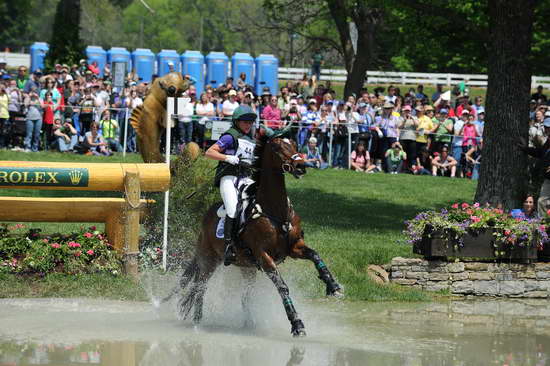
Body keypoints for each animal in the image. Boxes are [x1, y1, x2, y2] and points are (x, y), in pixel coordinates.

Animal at [166, 132, 342, 338]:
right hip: (209, 259)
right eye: (277, 148)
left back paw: (248, 324)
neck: (274, 210)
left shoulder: (294, 246)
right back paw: (197, 323)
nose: (301, 166)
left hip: (246, 267)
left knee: (243, 295)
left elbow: (315, 255)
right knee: (200, 286)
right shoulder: (264, 256)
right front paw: (297, 324)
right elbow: (282, 287)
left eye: (294, 144)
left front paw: (333, 286)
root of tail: (205, 218)